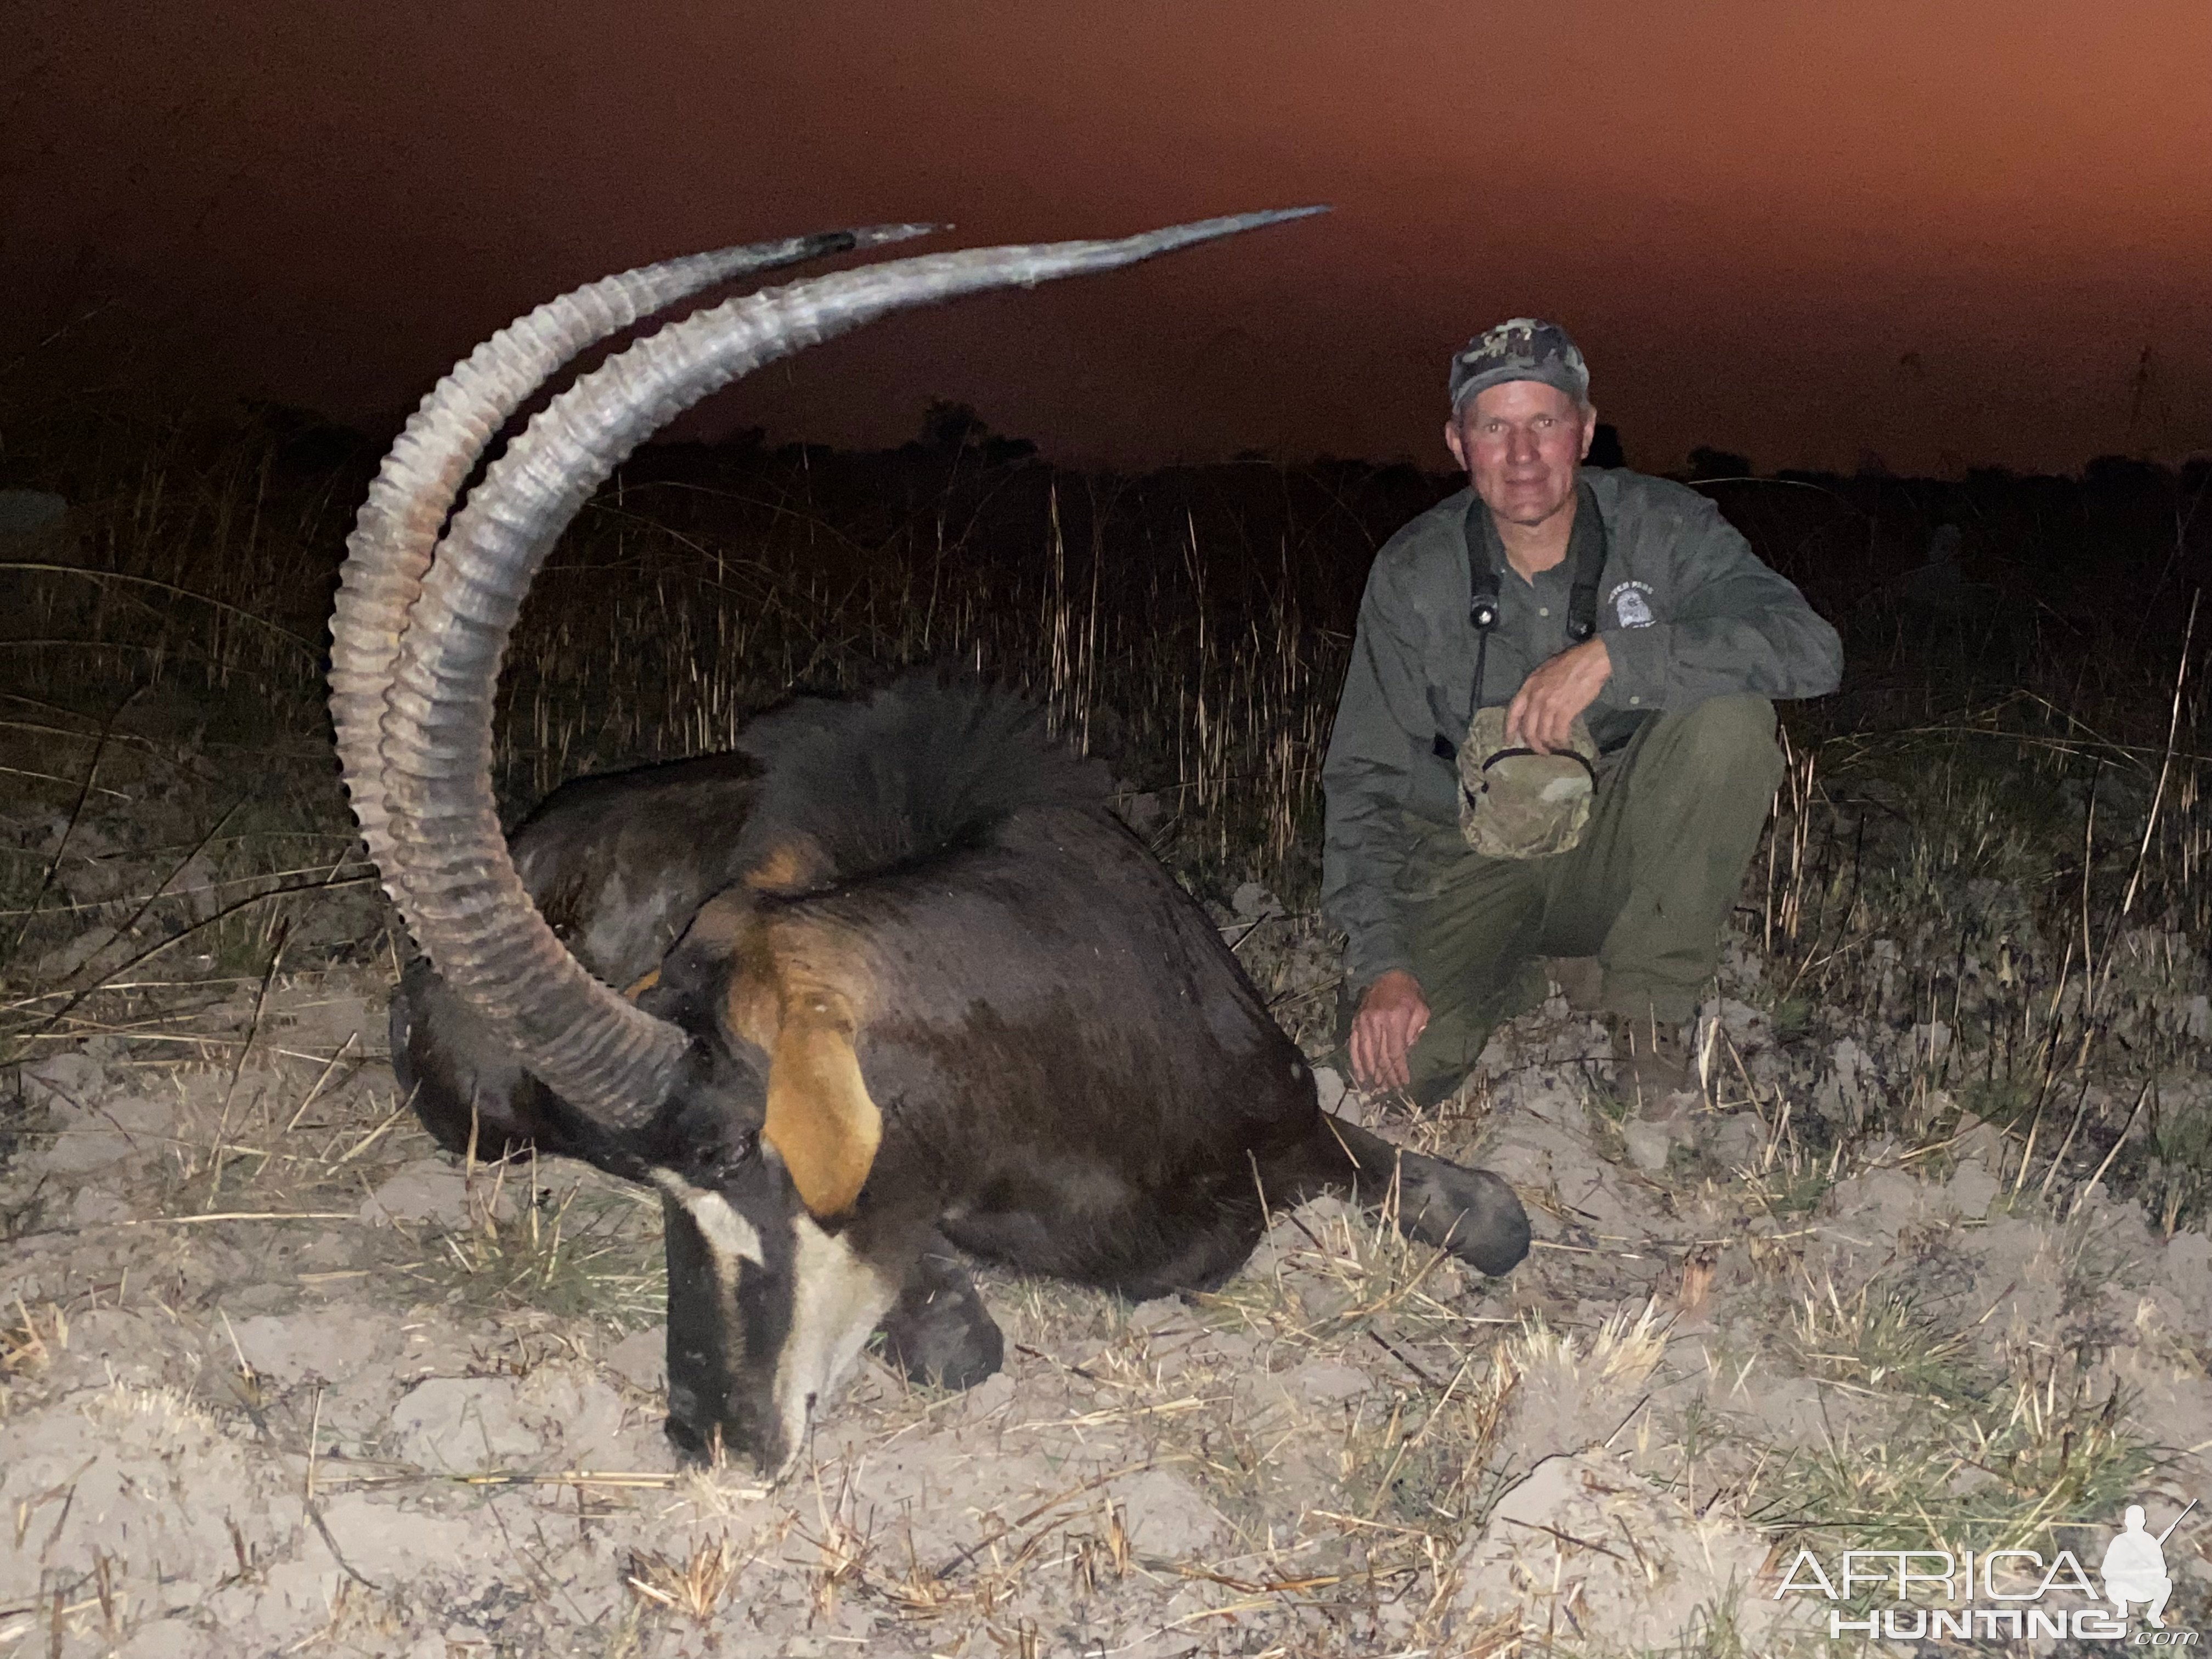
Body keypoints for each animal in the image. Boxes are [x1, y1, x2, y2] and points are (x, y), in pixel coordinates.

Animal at [336, 211, 1531, 1477]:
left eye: (730, 1149)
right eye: (661, 1177)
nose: (713, 1436)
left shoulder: (1294, 1122)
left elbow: (1501, 1220)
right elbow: (959, 1339)